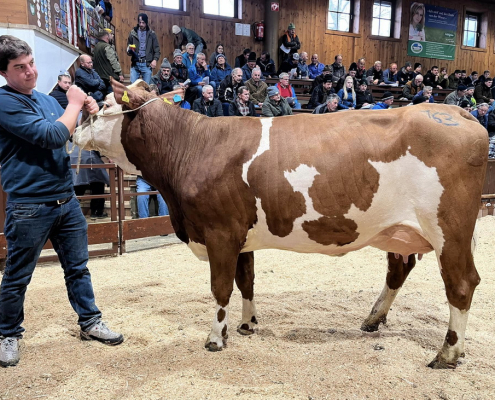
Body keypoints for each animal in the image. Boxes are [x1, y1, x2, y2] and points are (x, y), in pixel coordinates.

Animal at [75, 79, 490, 368]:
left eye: (103, 107)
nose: (77, 124)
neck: (194, 146)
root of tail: (459, 113)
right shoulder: (240, 235)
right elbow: (246, 281)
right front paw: (248, 324)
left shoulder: (219, 232)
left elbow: (221, 288)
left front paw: (216, 338)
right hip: (399, 231)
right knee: (399, 270)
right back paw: (373, 319)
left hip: (449, 229)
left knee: (461, 284)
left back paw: (447, 354)